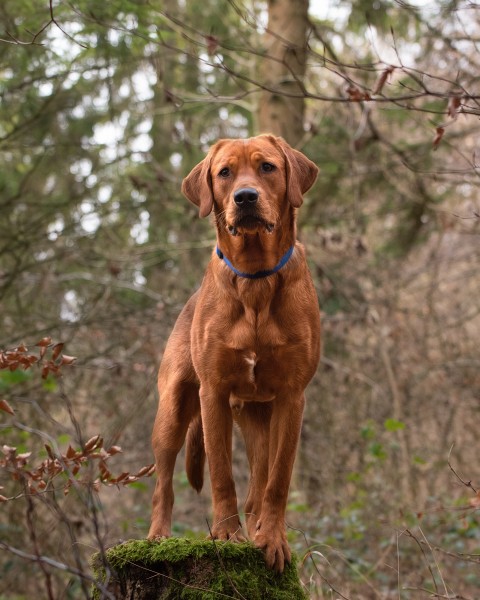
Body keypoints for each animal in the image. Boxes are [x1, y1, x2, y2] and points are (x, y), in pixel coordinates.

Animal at [148, 132, 320, 572]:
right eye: (225, 172)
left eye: (267, 167)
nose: (245, 197)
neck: (256, 280)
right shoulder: (213, 391)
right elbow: (222, 474)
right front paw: (226, 535)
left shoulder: (293, 396)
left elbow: (278, 480)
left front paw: (271, 539)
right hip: (173, 410)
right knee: (162, 483)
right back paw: (157, 536)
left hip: (258, 415)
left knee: (258, 481)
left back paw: (257, 526)